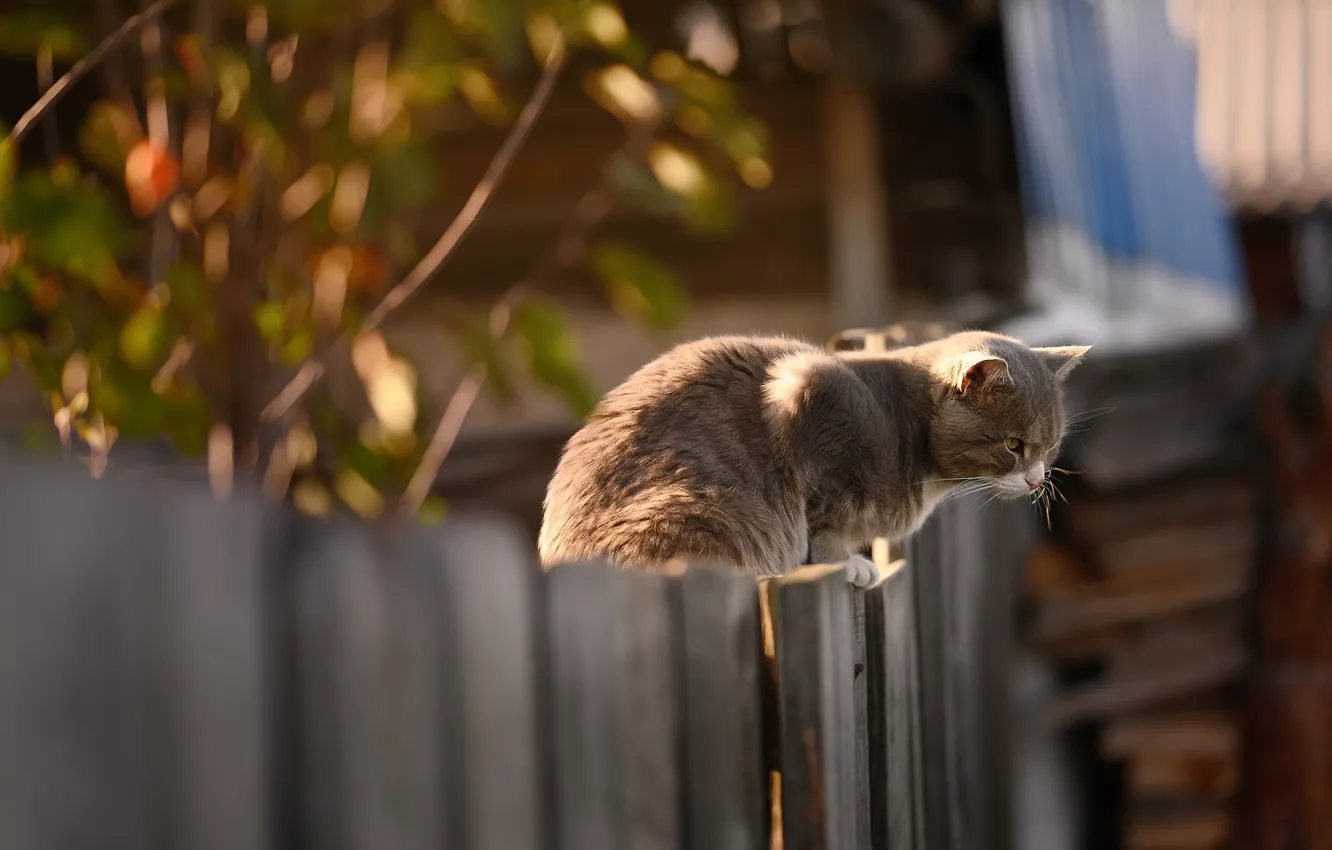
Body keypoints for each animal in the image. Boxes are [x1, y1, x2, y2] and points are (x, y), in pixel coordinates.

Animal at [535, 331, 1086, 586]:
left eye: (1050, 447)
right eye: (1013, 445)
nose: (1037, 479)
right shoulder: (806, 389)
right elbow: (823, 522)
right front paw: (848, 563)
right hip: (696, 509)